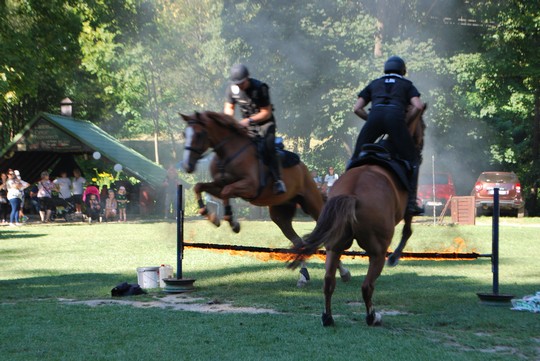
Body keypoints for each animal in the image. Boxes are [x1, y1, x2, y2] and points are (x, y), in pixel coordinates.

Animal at [179, 111, 352, 286]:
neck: (227, 153)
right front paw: (210, 215)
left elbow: (227, 191)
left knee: (325, 235)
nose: (187, 166)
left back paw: (343, 272)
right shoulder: (219, 185)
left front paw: (231, 221)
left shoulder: (249, 187)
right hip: (280, 215)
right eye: (184, 134)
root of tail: (305, 170)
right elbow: (200, 187)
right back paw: (304, 275)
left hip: (313, 205)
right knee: (299, 242)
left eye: (199, 134)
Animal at [292, 105, 426, 326]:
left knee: (329, 281)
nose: (421, 147)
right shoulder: (408, 206)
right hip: (377, 251)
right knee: (367, 286)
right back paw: (373, 316)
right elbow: (408, 230)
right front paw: (395, 257)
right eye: (422, 125)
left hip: (335, 246)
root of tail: (352, 195)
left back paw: (328, 317)